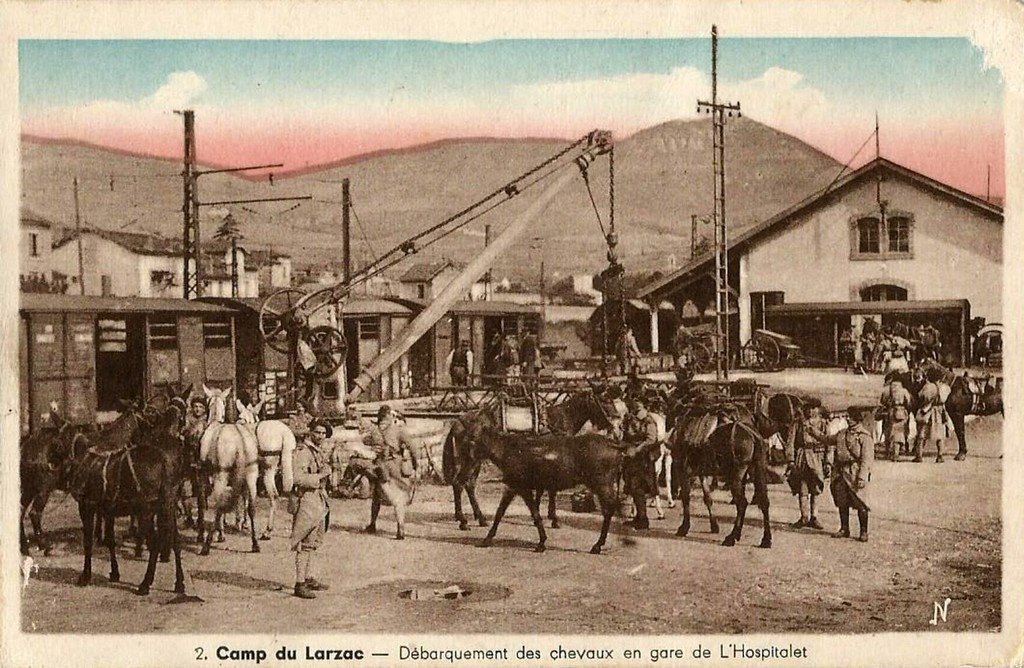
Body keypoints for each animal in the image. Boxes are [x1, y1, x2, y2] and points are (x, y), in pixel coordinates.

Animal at [70, 397, 190, 594]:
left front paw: (85, 576)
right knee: (175, 539)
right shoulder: (108, 509)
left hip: (146, 510)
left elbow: (88, 541)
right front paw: (114, 573)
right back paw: (179, 583)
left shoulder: (86, 505)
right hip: (167, 504)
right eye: (151, 413)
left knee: (155, 542)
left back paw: (145, 584)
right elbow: (110, 540)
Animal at [196, 383, 260, 557]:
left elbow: (204, 503)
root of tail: (240, 439)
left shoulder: (206, 476)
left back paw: (206, 545)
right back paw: (255, 543)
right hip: (251, 475)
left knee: (218, 506)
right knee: (251, 507)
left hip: (221, 476)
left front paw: (213, 534)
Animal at [234, 399, 294, 540]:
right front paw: (244, 523)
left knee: (273, 495)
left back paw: (267, 531)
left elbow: (240, 495)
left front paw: (239, 522)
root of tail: (284, 433)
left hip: (268, 469)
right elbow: (246, 495)